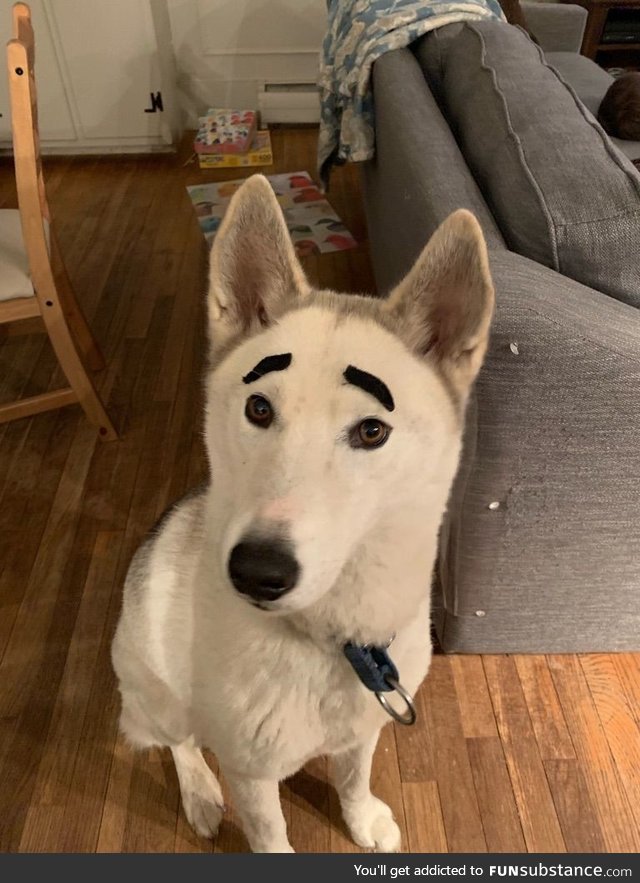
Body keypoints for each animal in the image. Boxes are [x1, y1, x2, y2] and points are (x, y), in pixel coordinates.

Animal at [111, 174, 496, 856]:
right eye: (259, 409)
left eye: (372, 430)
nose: (256, 571)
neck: (333, 641)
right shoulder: (251, 774)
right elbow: (270, 833)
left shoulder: (366, 725)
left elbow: (353, 775)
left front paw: (361, 817)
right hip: (157, 692)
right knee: (180, 741)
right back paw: (200, 793)